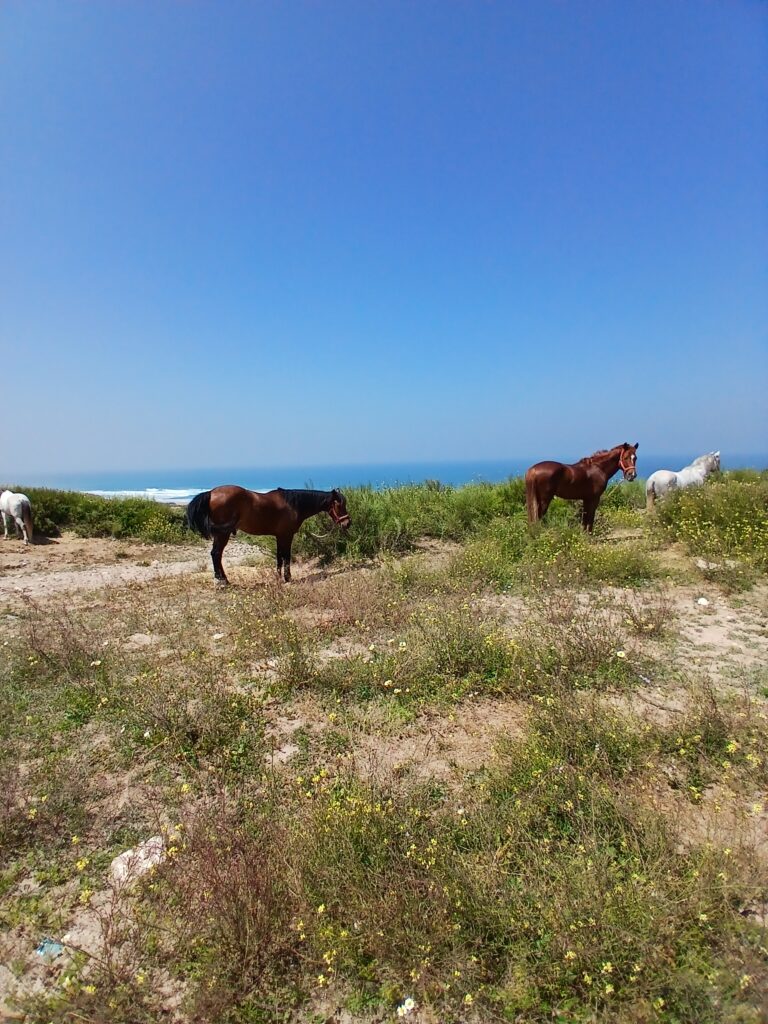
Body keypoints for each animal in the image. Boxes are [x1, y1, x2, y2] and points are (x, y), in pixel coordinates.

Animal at [186, 485, 351, 585]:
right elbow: (286, 556)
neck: (293, 505)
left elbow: (279, 557)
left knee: (217, 554)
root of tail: (211, 493)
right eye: (339, 505)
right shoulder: (287, 535)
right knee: (216, 554)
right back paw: (222, 581)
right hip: (223, 534)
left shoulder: (279, 536)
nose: (347, 523)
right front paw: (287, 577)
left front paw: (278, 577)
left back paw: (224, 579)